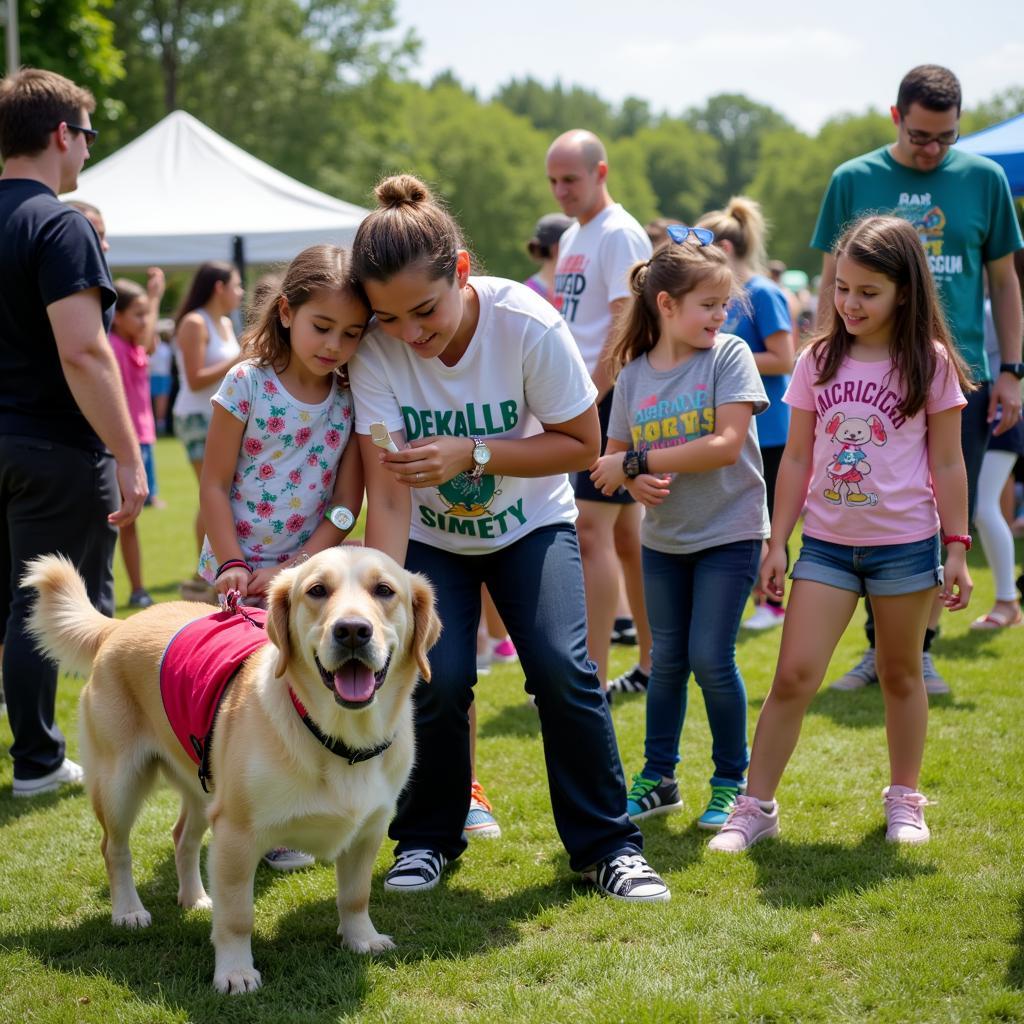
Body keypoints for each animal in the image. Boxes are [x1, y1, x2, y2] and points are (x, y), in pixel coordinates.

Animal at [19, 548, 436, 995]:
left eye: (384, 590)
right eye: (317, 590)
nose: (353, 631)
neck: (336, 738)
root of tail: (119, 625)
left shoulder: (368, 831)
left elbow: (355, 896)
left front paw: (362, 938)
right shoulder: (237, 834)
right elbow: (237, 916)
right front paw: (235, 971)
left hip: (204, 785)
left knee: (181, 837)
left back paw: (195, 897)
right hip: (120, 783)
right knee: (114, 849)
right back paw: (128, 910)